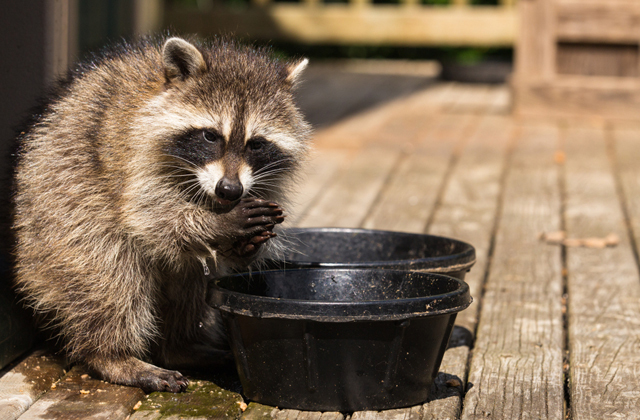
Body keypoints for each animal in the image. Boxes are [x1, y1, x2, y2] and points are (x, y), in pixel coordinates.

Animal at [10, 37, 310, 392]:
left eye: (256, 144)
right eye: (210, 136)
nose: (229, 190)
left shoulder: (262, 181)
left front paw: (245, 246)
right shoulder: (133, 154)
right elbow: (150, 217)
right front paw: (219, 224)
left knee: (190, 273)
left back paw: (180, 346)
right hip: (61, 204)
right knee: (109, 275)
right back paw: (112, 356)